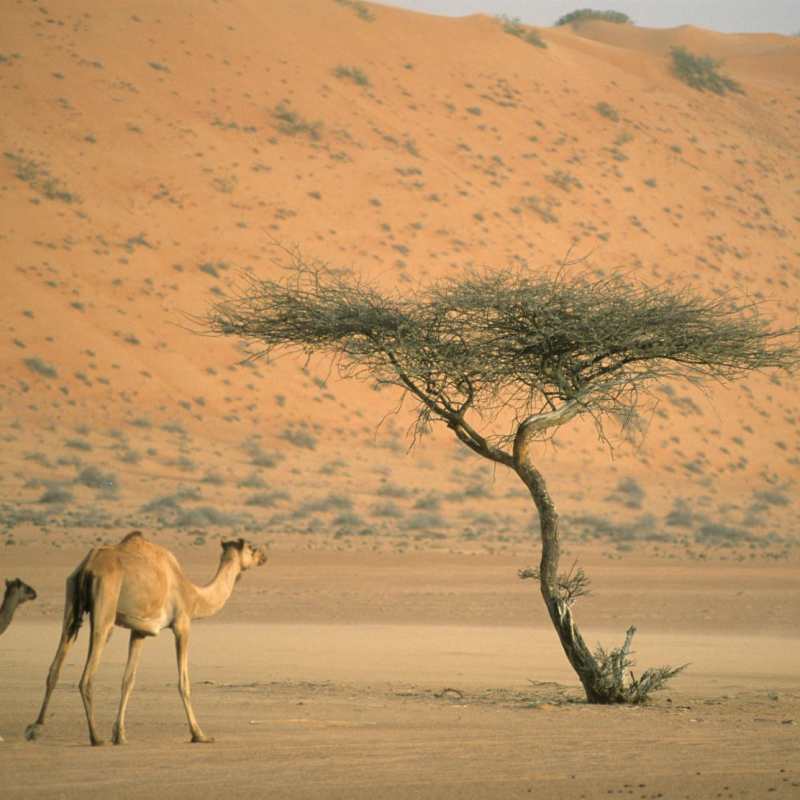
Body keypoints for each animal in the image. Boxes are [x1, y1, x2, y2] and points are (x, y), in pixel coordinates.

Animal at [25, 531, 267, 746]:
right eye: (251, 547)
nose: (264, 555)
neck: (193, 595)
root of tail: (87, 567)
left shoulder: (140, 631)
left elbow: (128, 680)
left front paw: (120, 735)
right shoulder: (182, 624)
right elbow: (184, 682)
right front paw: (200, 735)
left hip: (71, 598)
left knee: (55, 664)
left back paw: (36, 728)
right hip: (105, 606)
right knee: (87, 674)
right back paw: (96, 737)